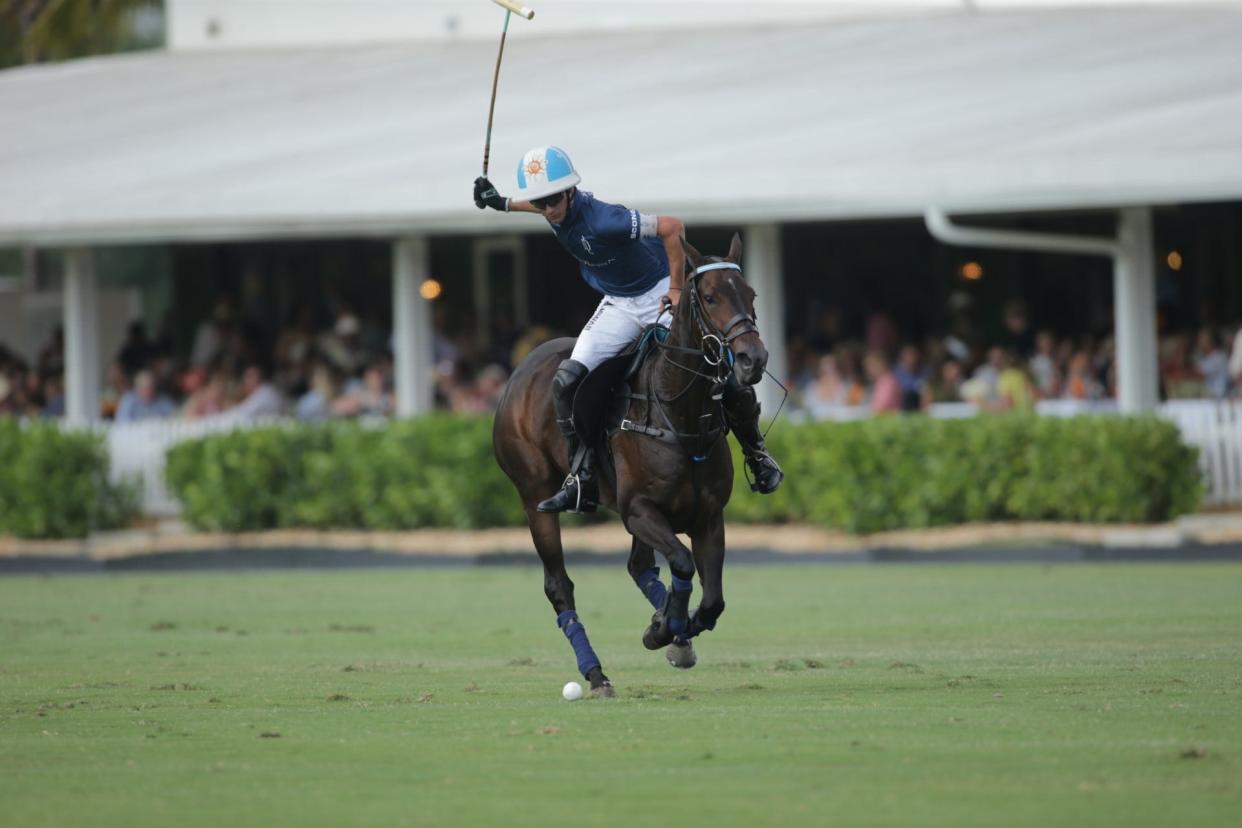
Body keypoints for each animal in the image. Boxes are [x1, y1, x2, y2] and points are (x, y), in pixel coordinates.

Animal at [491, 234, 765, 700]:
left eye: (751, 294)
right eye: (710, 297)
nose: (753, 359)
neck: (680, 415)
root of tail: (521, 369)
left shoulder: (708, 517)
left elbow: (711, 600)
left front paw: (674, 628)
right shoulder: (640, 510)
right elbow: (682, 565)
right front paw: (664, 629)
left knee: (639, 567)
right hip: (534, 497)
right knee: (559, 586)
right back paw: (596, 674)